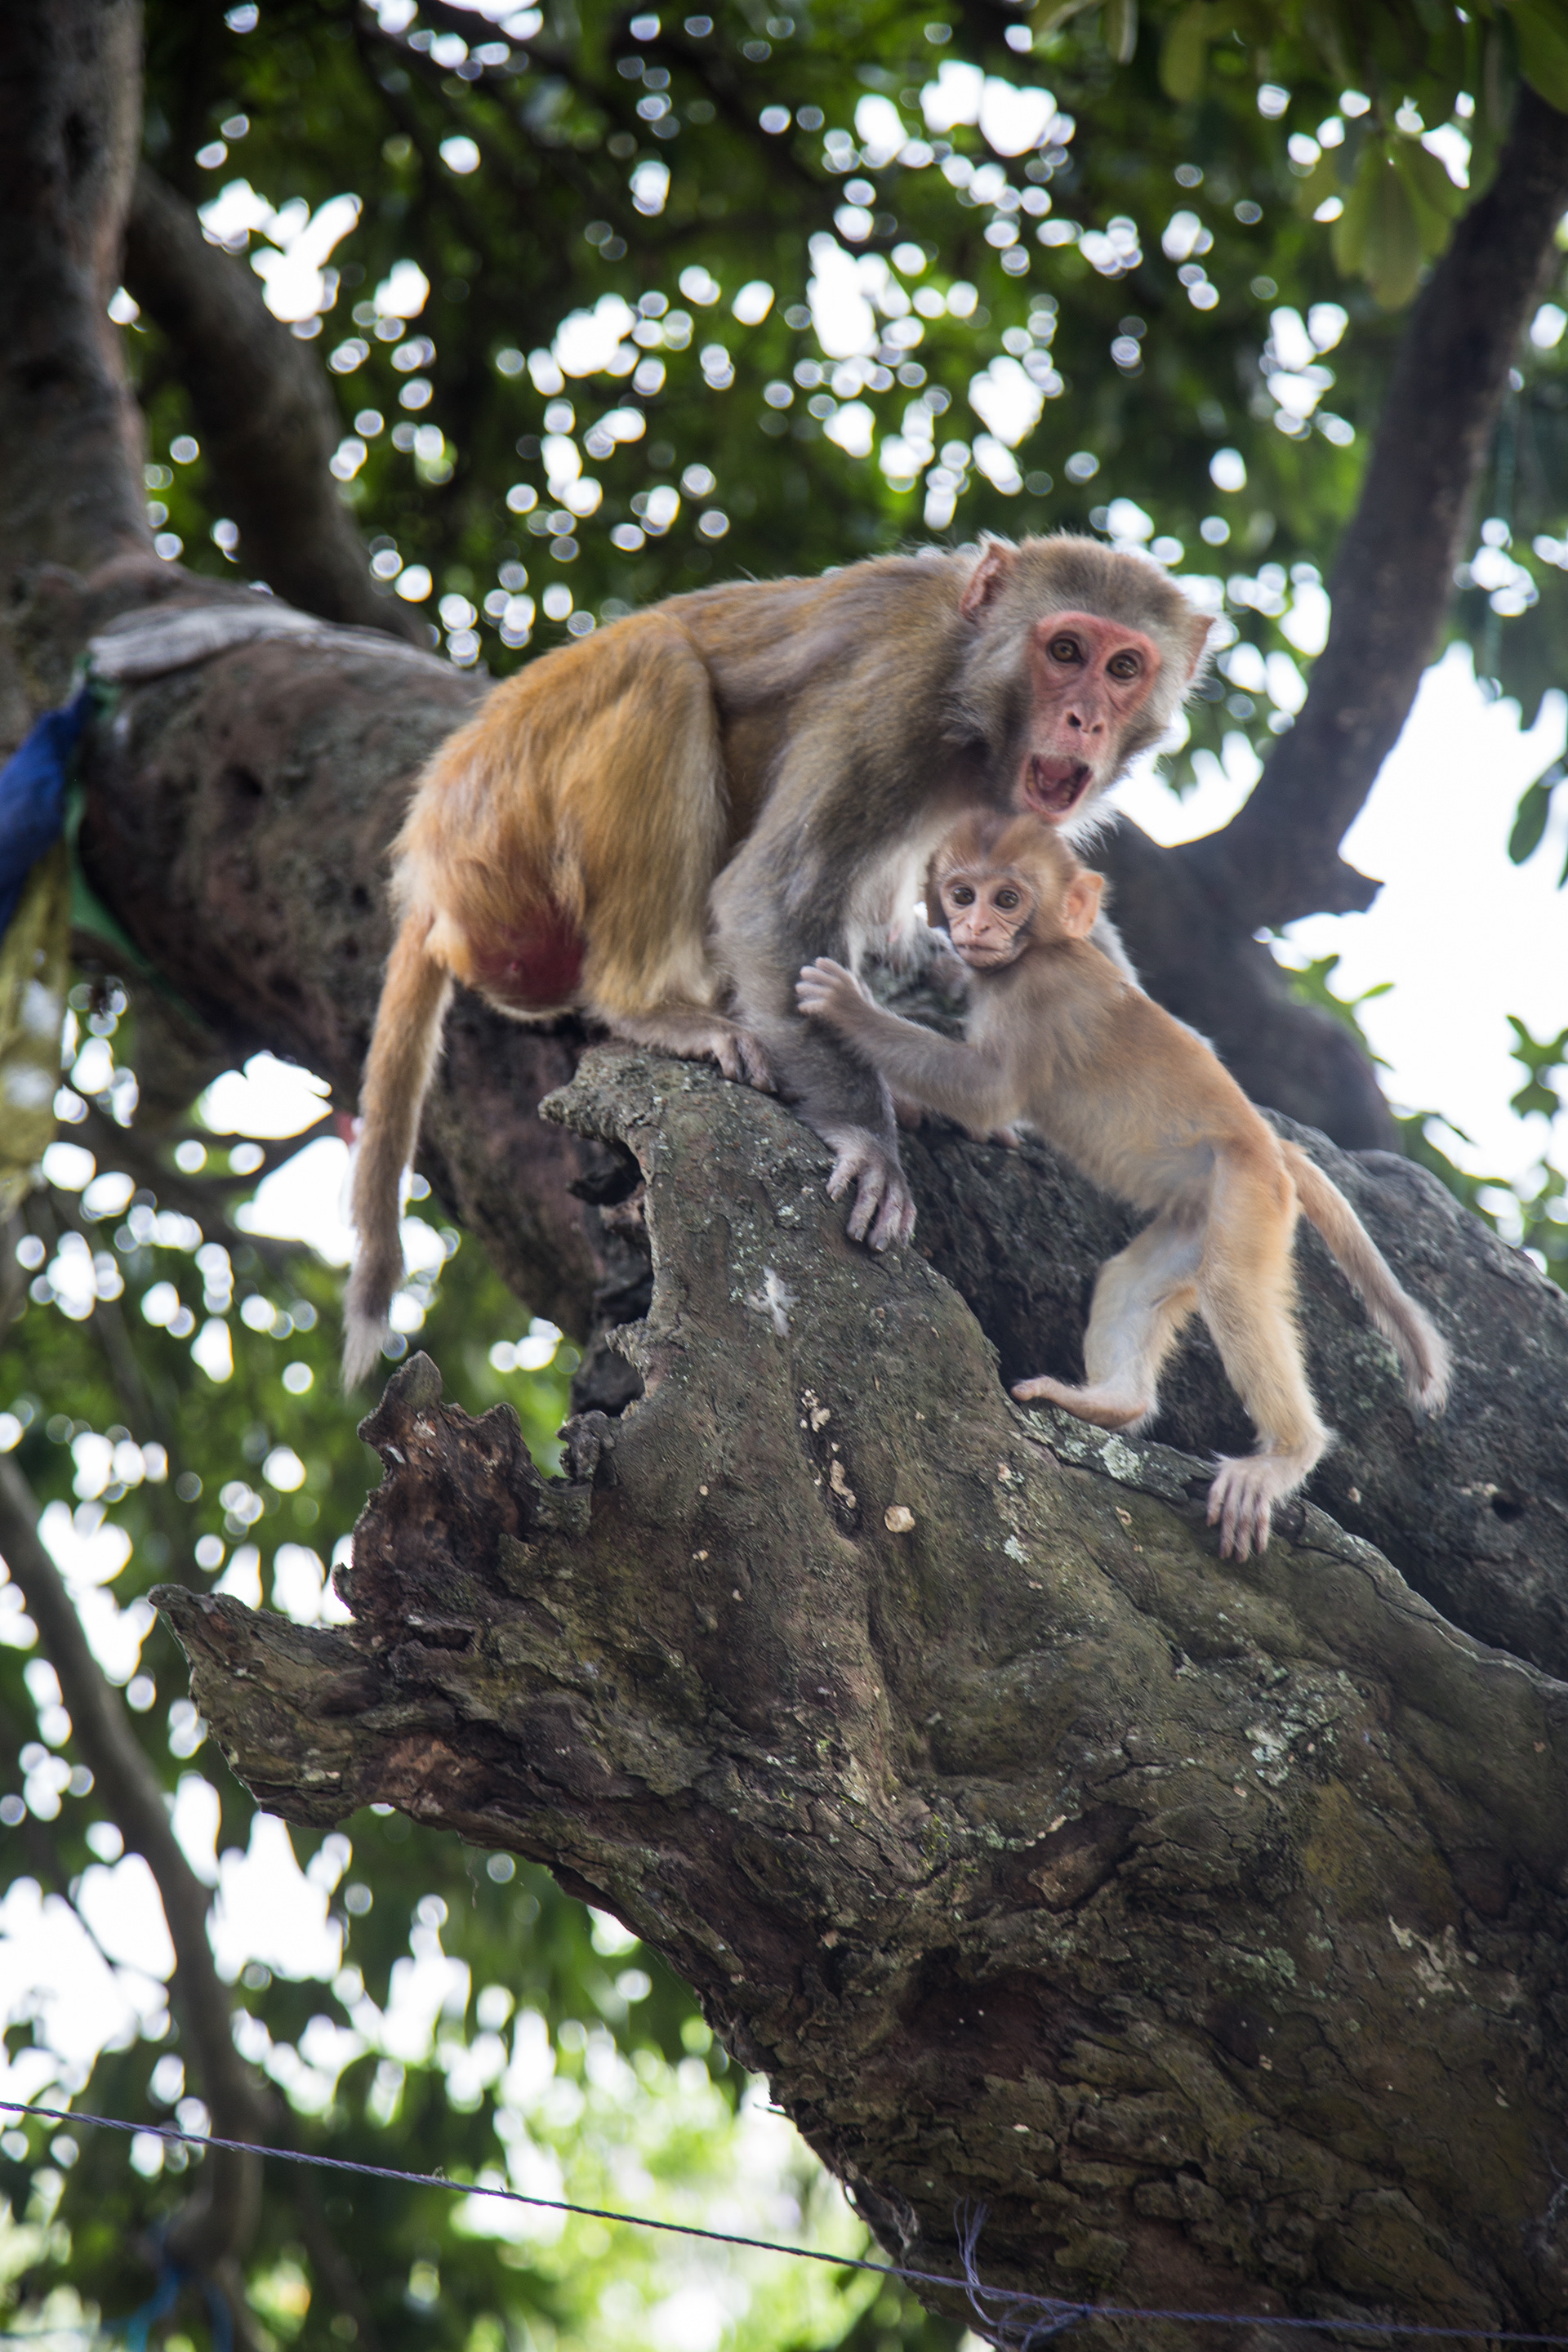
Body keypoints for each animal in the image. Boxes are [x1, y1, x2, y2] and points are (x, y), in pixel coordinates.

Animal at [344, 534, 1213, 1383]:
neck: (976, 708)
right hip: (502, 844)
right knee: (660, 664)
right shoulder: (895, 693)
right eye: (1065, 650)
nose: (1084, 720)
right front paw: (869, 1144)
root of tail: (429, 864)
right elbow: (773, 897)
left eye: (1124, 668)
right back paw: (653, 1007)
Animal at [796, 812, 1450, 1560]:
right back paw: (1110, 1403)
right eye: (962, 893)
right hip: (1199, 1212)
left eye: (1007, 899)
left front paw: (848, 1006)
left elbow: (988, 1093)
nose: (974, 927)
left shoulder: (1041, 995)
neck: (1039, 952)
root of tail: (1271, 1145)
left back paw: (1285, 1455)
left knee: (1231, 1286)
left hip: (1248, 1194)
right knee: (1130, 1281)